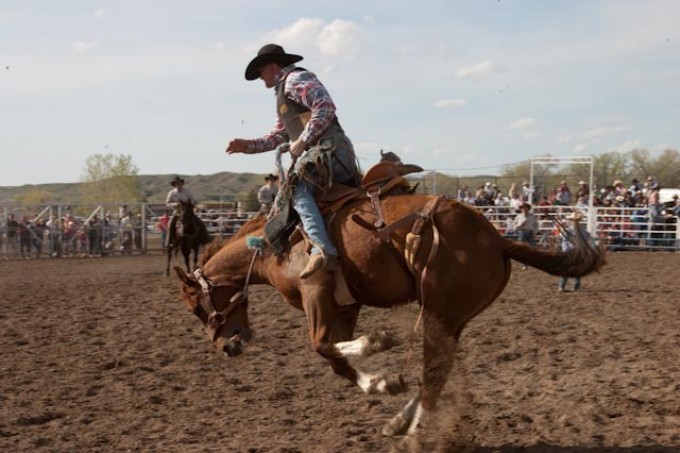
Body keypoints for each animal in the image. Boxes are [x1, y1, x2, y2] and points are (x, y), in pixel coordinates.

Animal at [173, 192, 604, 444]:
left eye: (196, 308)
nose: (226, 347)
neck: (274, 247)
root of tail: (497, 239)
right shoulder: (344, 305)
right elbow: (338, 361)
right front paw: (380, 382)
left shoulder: (316, 292)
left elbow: (322, 345)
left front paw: (379, 344)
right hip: (451, 319)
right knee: (438, 369)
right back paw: (403, 420)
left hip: (439, 311)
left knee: (433, 371)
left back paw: (412, 432)